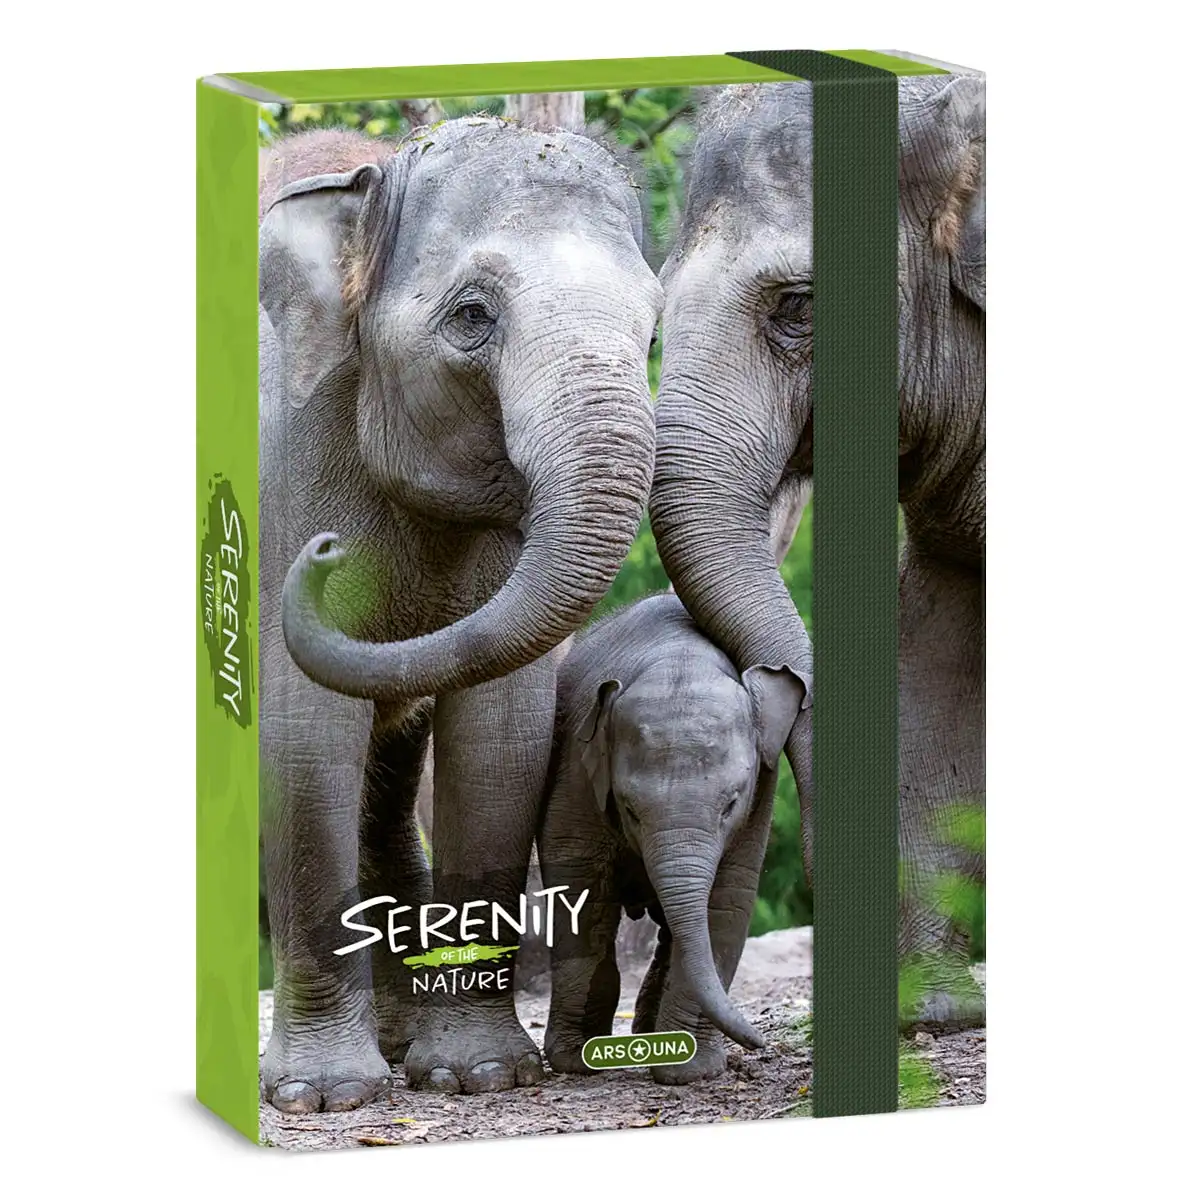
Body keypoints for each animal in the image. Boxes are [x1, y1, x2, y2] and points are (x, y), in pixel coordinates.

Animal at [257, 117, 662, 1111]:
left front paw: (478, 1076)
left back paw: (403, 1047)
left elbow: (502, 736)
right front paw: (324, 1097)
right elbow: (303, 736)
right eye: (473, 316)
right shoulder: (282, 458)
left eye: (652, 322)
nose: (322, 558)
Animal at [538, 592, 806, 1083]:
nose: (761, 1044)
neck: (679, 659)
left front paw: (690, 1071)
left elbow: (726, 902)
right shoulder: (577, 770)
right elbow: (579, 885)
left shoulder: (761, 793)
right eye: (629, 808)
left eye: (730, 804)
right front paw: (576, 1062)